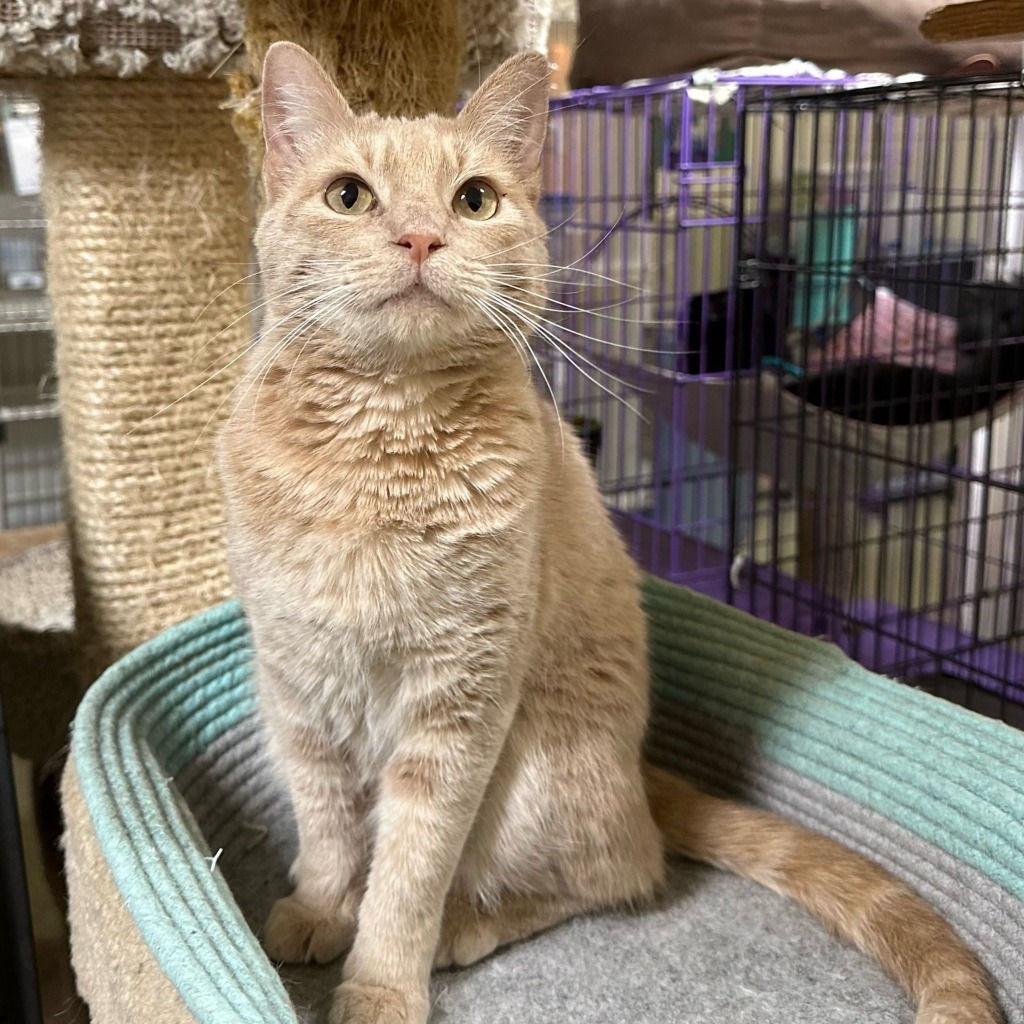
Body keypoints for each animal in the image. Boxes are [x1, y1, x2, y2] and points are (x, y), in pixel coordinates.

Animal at [220, 39, 1003, 1024]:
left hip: (534, 776)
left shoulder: (457, 706)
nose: (421, 238)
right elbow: (326, 826)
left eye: (473, 199)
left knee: (620, 871)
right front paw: (322, 907)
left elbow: (408, 869)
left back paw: (465, 928)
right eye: (349, 195)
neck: (379, 447)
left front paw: (379, 985)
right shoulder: (297, 687)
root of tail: (641, 772)